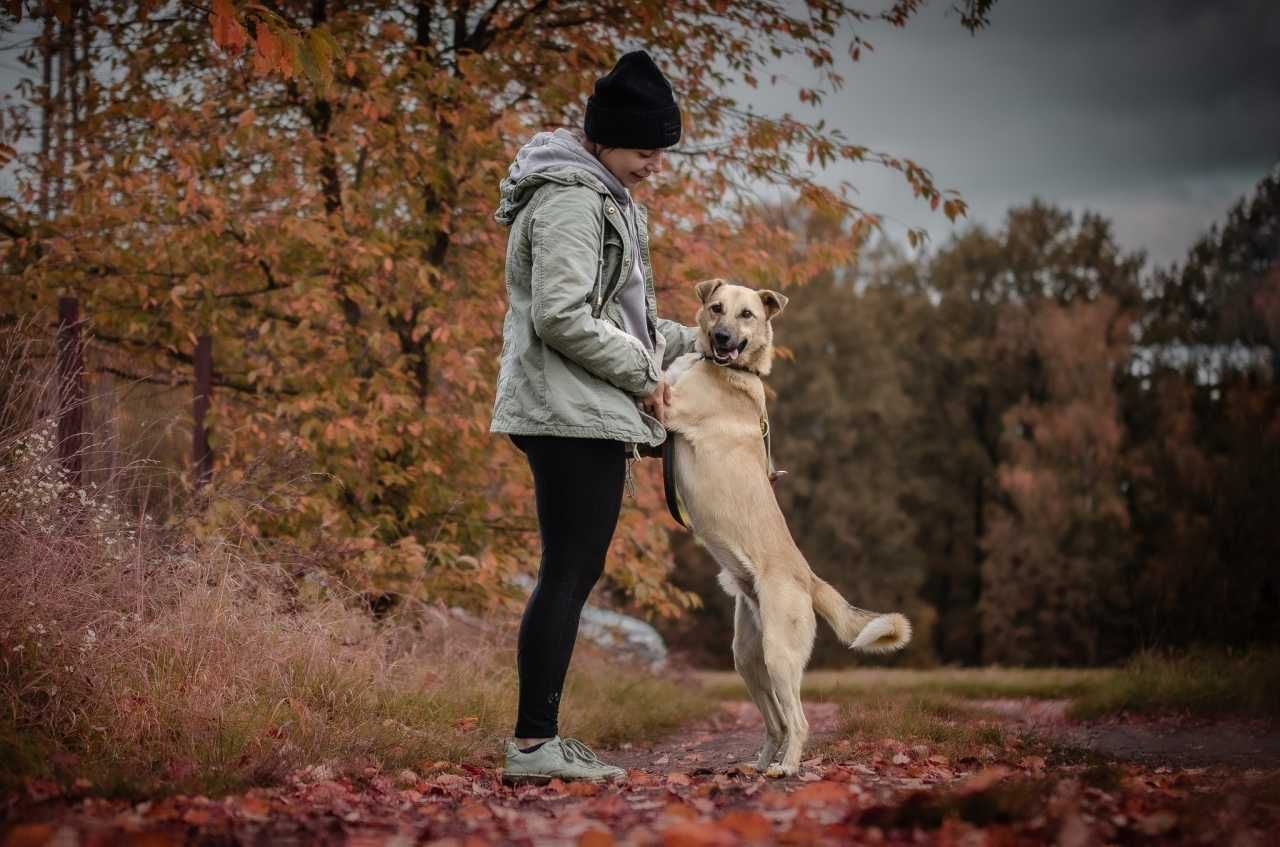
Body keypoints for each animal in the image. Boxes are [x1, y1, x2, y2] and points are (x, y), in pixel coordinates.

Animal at [660, 277, 911, 777]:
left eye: (747, 315)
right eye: (716, 308)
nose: (721, 338)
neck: (730, 372)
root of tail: (808, 578)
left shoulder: (668, 405)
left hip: (778, 655)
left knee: (798, 721)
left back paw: (787, 768)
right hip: (748, 659)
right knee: (775, 721)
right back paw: (758, 766)